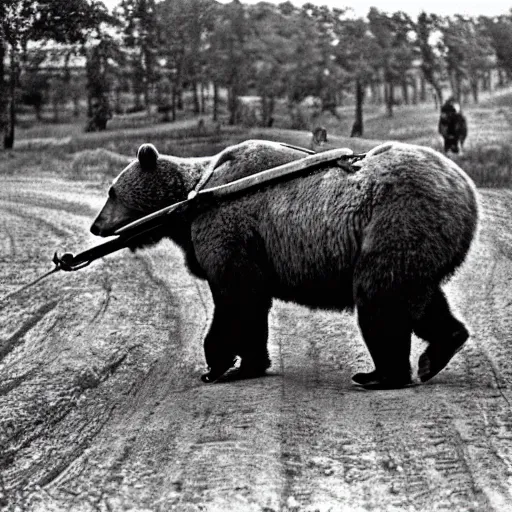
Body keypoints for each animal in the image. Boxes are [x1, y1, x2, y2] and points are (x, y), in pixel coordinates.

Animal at [90, 139, 478, 388]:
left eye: (111, 192)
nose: (96, 225)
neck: (190, 201)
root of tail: (466, 191)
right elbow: (252, 303)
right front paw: (249, 364)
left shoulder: (231, 225)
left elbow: (235, 296)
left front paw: (215, 365)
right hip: (420, 240)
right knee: (420, 297)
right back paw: (437, 353)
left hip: (395, 219)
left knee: (380, 296)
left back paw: (379, 375)